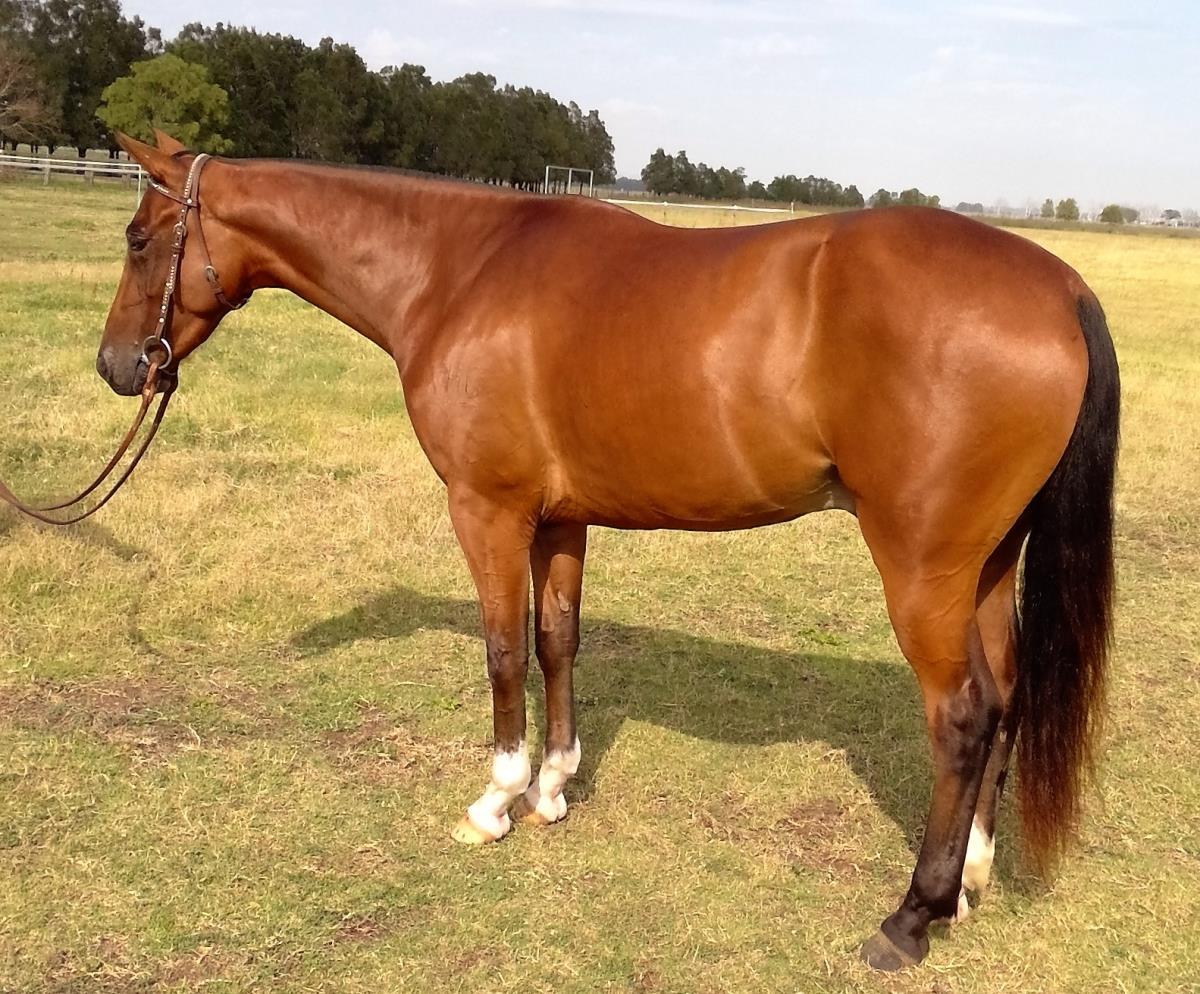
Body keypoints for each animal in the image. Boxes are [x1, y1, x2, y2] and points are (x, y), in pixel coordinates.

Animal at [97, 131, 1118, 971]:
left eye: (140, 239)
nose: (117, 366)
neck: (458, 273)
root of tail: (1060, 289)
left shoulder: (488, 511)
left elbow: (503, 650)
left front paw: (495, 802)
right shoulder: (559, 520)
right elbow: (557, 642)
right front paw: (552, 789)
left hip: (921, 567)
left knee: (963, 716)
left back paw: (910, 917)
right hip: (986, 566)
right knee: (1007, 697)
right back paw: (969, 884)